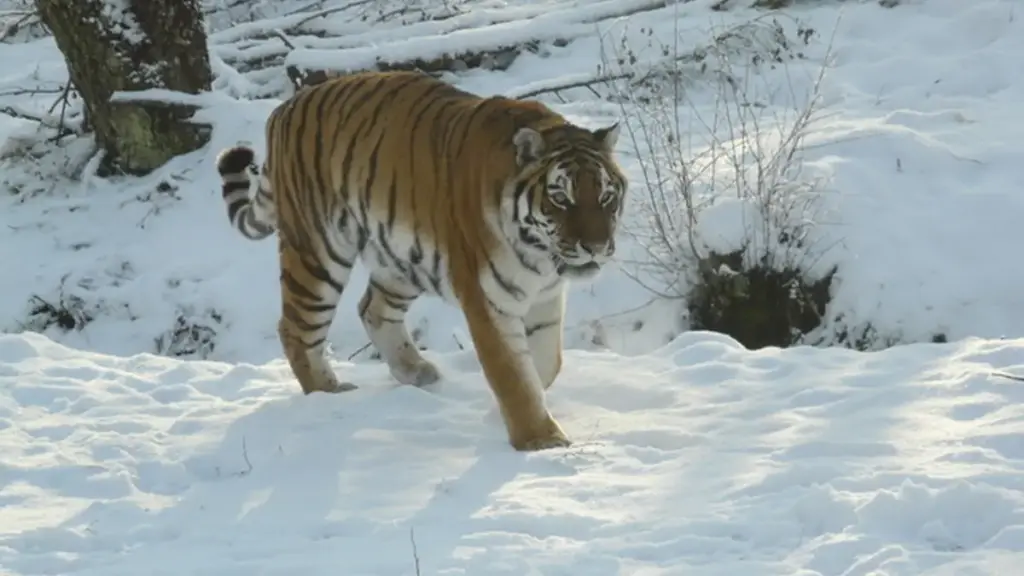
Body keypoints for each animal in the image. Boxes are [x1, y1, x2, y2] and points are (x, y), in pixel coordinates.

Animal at [215, 70, 627, 451]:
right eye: (561, 198)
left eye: (606, 197)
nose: (597, 246)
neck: (540, 258)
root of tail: (283, 109)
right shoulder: (487, 300)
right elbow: (512, 373)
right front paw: (540, 440)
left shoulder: (545, 298)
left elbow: (545, 362)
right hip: (317, 252)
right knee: (296, 329)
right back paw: (327, 393)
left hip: (402, 257)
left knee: (371, 308)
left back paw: (415, 371)